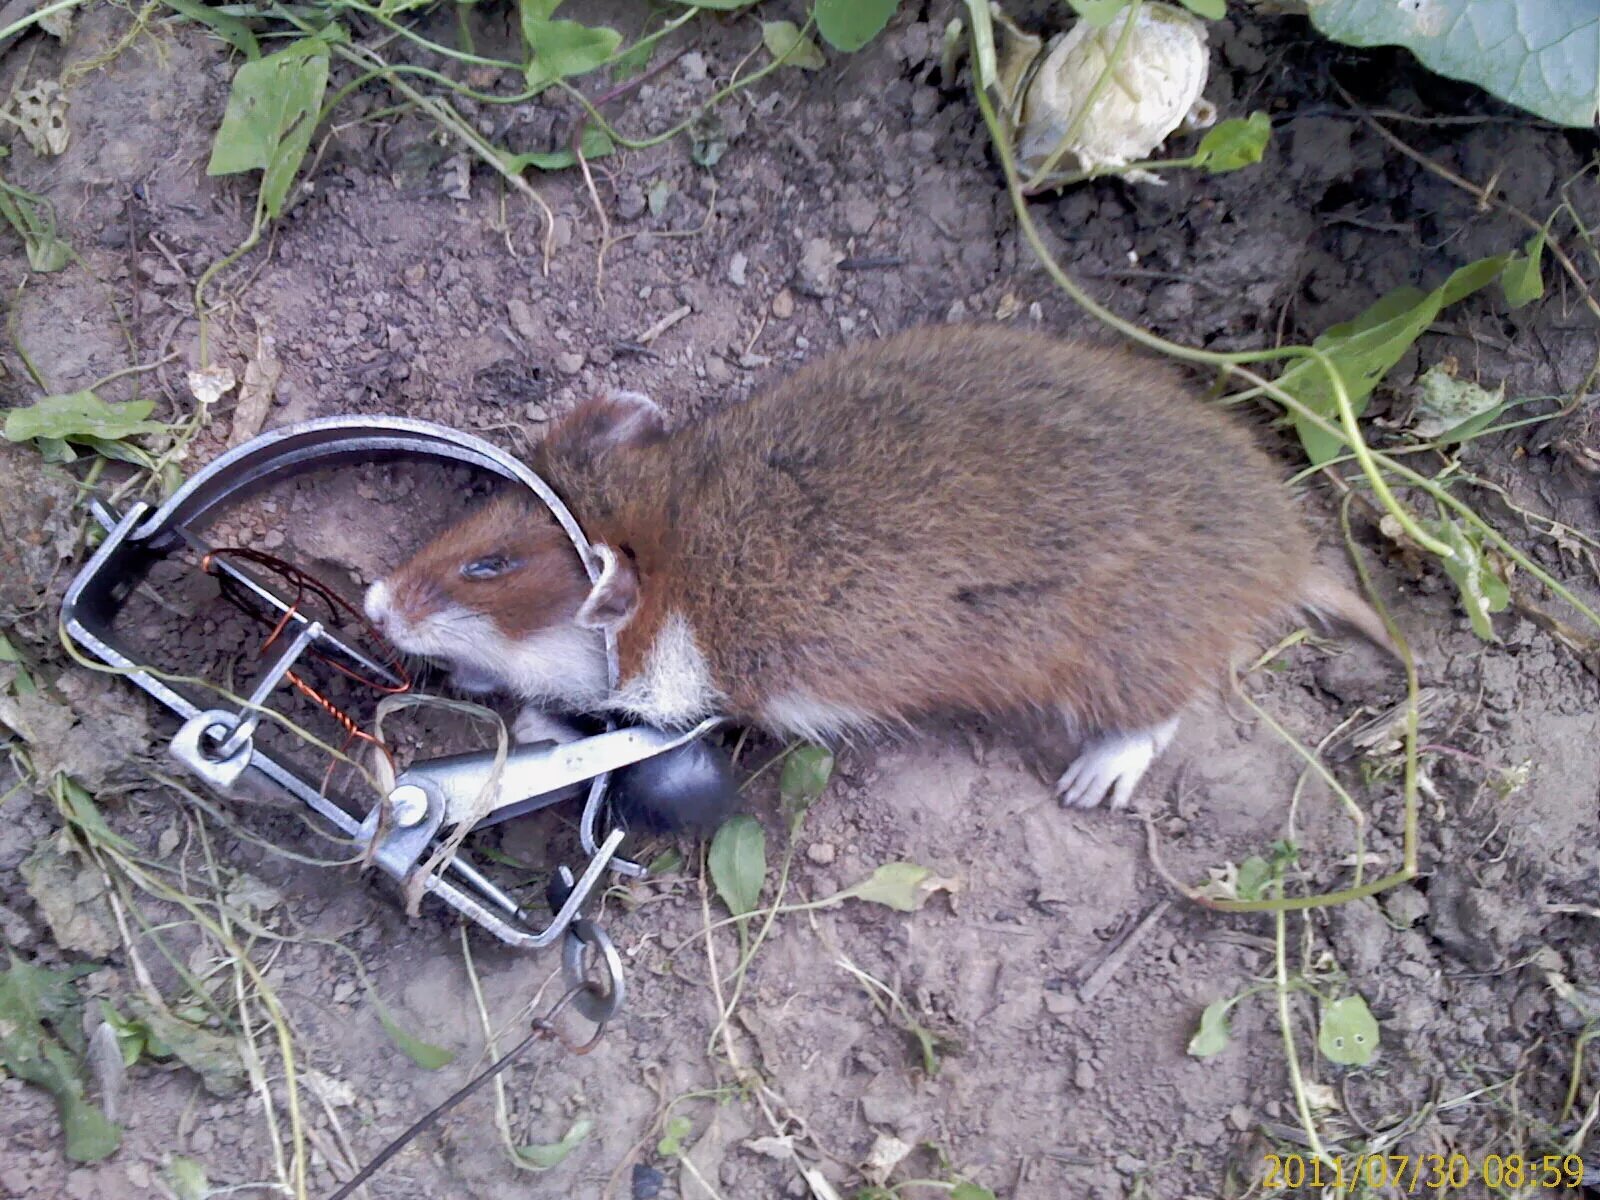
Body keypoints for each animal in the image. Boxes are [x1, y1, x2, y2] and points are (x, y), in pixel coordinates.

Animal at [363, 326, 1388, 809]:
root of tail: (1287, 552)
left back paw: (1097, 776)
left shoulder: (682, 693)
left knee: (1162, 711)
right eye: (477, 520)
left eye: (492, 565)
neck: (687, 549)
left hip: (1117, 655)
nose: (372, 603)